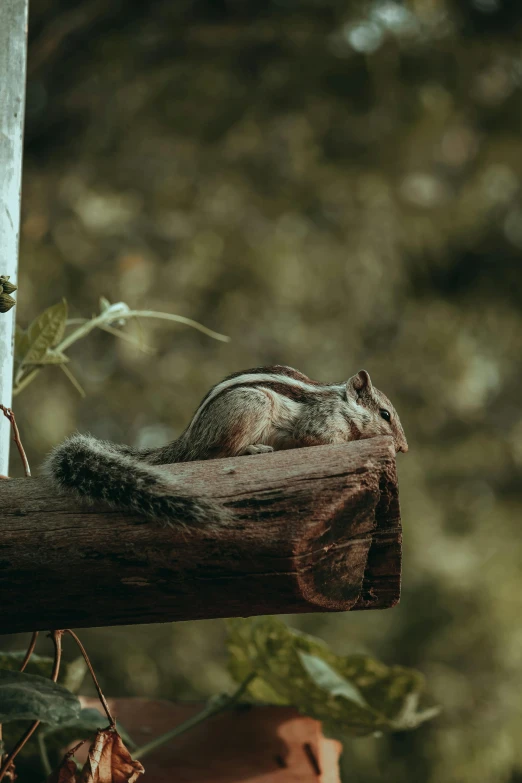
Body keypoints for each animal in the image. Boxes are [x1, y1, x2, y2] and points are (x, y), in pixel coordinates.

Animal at [42, 366, 406, 528]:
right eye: (385, 414)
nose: (403, 447)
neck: (341, 404)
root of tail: (190, 438)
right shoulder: (318, 425)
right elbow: (320, 439)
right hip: (251, 407)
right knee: (215, 454)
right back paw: (253, 450)